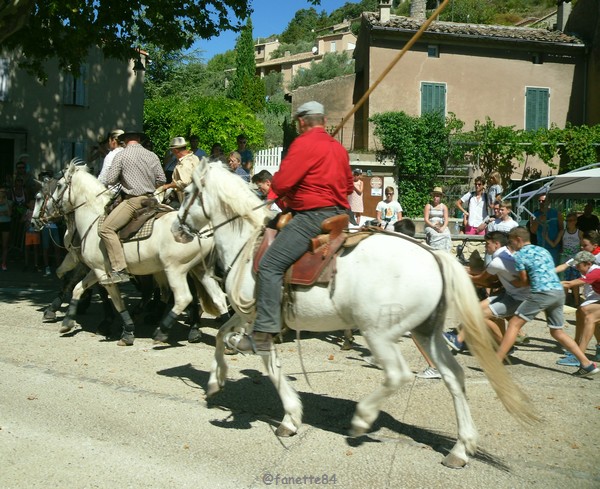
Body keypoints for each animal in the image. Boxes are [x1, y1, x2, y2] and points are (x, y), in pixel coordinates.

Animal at [44, 162, 227, 346]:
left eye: (59, 185)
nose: (48, 210)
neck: (93, 219)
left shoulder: (103, 273)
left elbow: (117, 301)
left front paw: (127, 332)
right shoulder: (97, 270)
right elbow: (78, 288)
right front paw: (67, 322)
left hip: (175, 270)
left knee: (183, 298)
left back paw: (162, 331)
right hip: (200, 270)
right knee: (218, 297)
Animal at [171, 158, 536, 468]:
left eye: (187, 193)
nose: (176, 229)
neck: (247, 241)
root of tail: (433, 256)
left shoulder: (258, 317)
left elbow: (267, 363)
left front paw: (290, 417)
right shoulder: (248, 314)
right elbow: (222, 335)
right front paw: (215, 381)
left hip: (379, 332)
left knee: (398, 375)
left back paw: (362, 419)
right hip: (426, 332)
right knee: (454, 377)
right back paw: (460, 448)